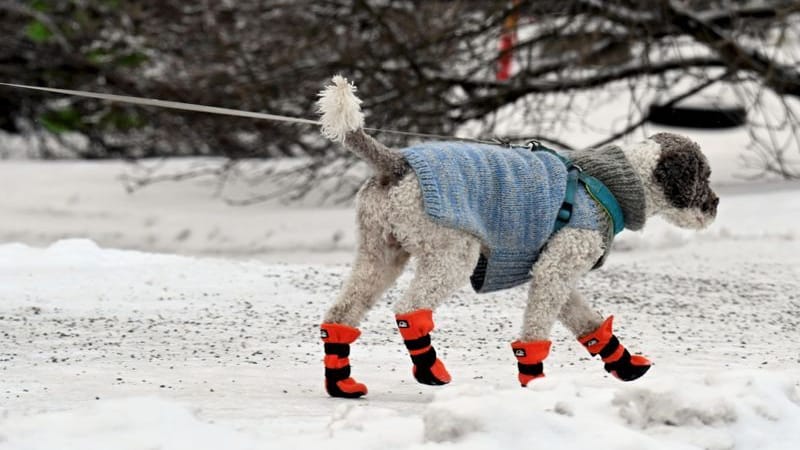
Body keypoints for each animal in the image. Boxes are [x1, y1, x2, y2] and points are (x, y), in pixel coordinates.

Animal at [312, 74, 720, 398]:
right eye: (703, 176)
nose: (715, 205)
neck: (610, 186)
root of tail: (396, 164)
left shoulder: (557, 272)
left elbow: (588, 323)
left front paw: (625, 364)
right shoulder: (556, 269)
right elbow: (536, 330)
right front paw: (535, 381)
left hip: (380, 254)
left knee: (342, 313)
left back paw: (341, 383)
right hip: (452, 254)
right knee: (409, 309)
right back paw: (430, 371)